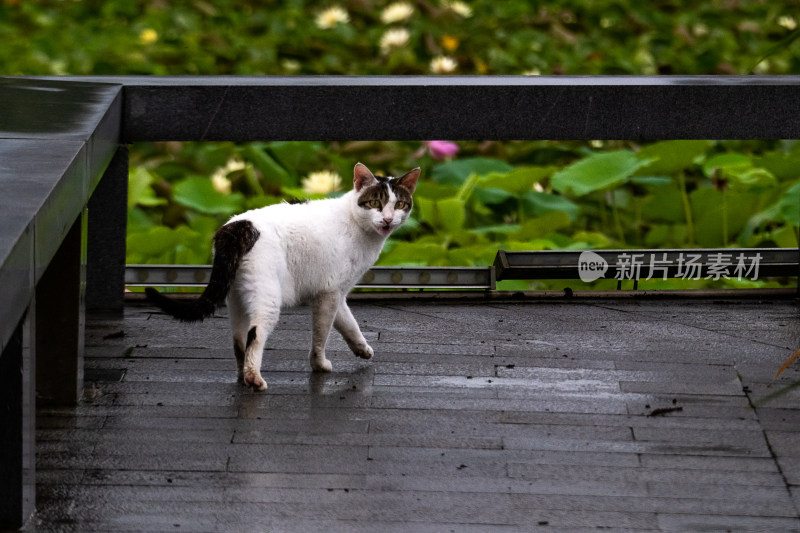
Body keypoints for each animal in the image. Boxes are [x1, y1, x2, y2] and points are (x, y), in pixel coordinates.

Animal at [145, 162, 418, 390]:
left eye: (399, 205)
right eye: (375, 203)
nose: (388, 219)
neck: (359, 228)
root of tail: (237, 227)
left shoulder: (335, 294)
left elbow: (349, 324)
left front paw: (362, 349)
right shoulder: (328, 294)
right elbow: (322, 335)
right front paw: (319, 364)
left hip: (238, 298)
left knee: (239, 340)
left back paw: (242, 375)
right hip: (268, 297)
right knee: (255, 335)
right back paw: (254, 379)